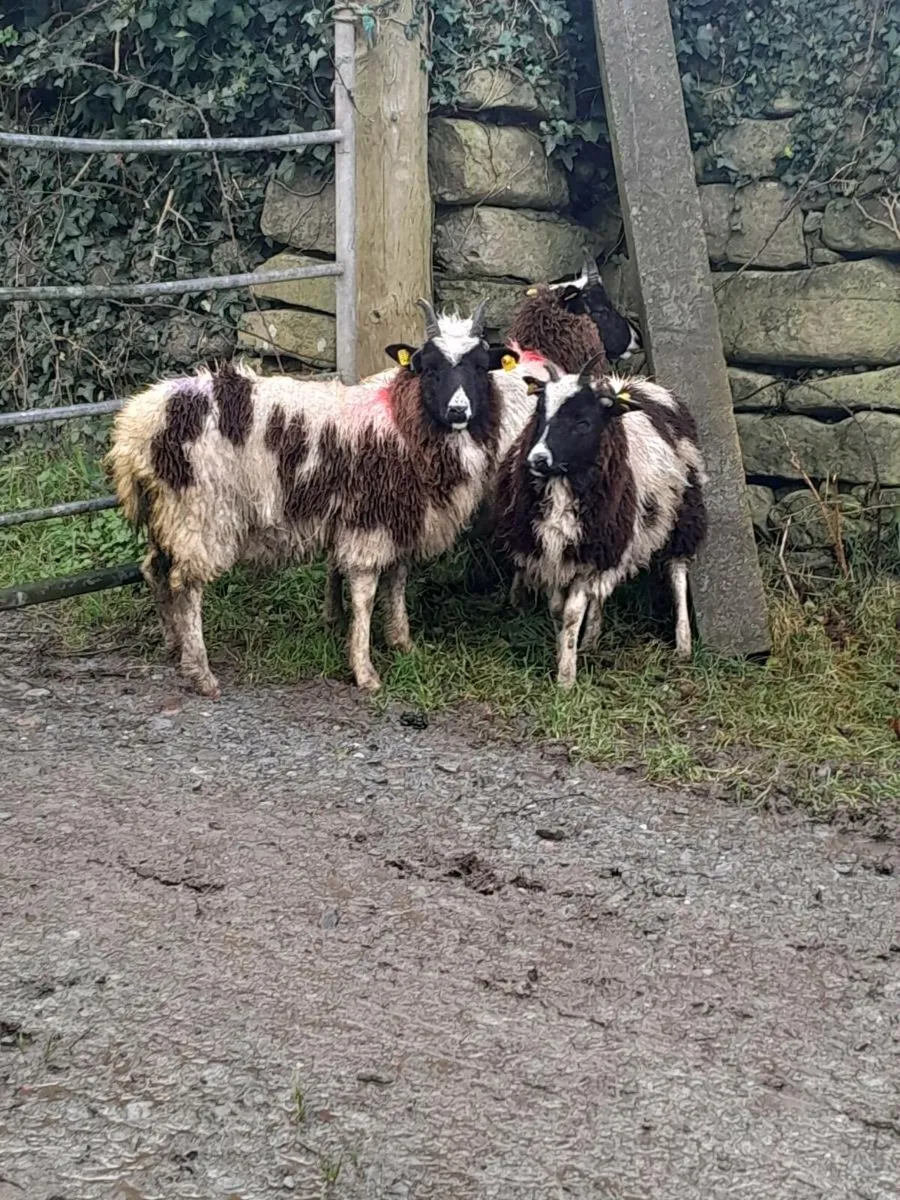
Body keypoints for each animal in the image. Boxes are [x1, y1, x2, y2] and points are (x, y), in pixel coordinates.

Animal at [106, 299, 525, 698]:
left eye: (480, 367)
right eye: (430, 367)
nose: (458, 411)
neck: (407, 420)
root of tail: (135, 427)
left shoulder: (401, 517)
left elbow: (397, 581)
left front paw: (402, 643)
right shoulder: (369, 521)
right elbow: (365, 595)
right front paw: (365, 670)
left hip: (167, 512)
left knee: (155, 569)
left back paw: (174, 645)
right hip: (201, 511)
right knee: (186, 584)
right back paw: (200, 672)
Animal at [494, 354, 708, 689]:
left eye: (583, 423)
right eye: (539, 413)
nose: (537, 460)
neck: (564, 481)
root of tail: (636, 384)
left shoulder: (588, 555)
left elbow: (571, 613)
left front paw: (566, 679)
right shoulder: (554, 554)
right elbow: (559, 611)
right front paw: (565, 653)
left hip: (683, 513)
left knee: (677, 572)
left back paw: (683, 644)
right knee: (602, 591)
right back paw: (591, 639)